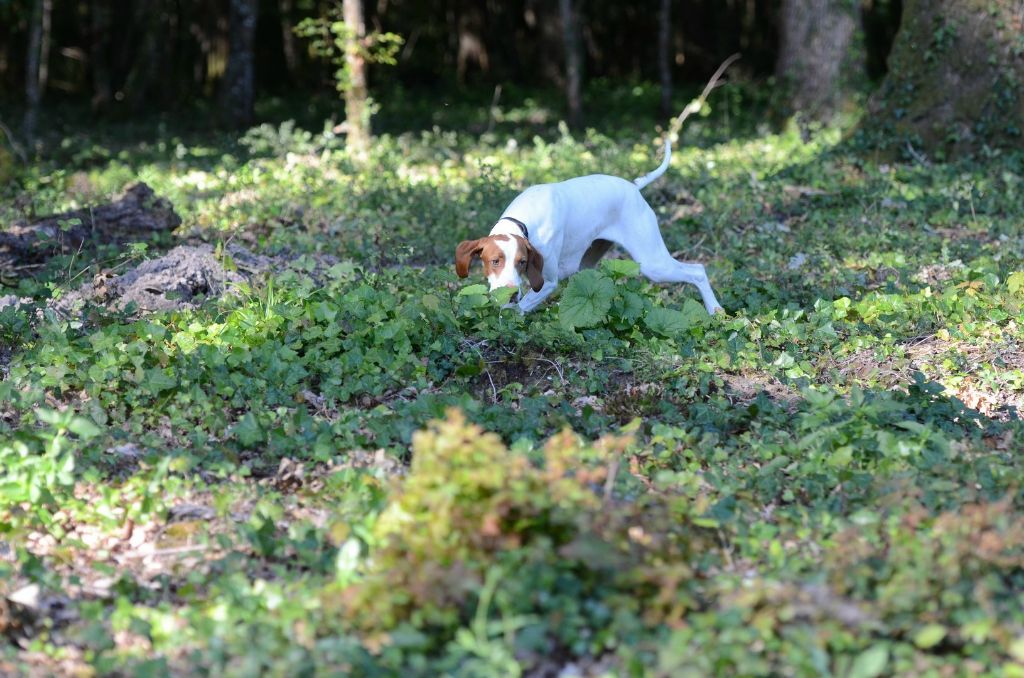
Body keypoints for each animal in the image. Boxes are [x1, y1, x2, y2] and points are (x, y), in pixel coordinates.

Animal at [452, 142, 724, 317]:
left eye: (522, 262)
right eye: (495, 261)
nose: (509, 294)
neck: (523, 220)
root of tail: (634, 187)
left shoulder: (547, 282)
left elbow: (522, 305)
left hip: (653, 264)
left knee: (698, 271)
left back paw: (715, 310)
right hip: (589, 263)